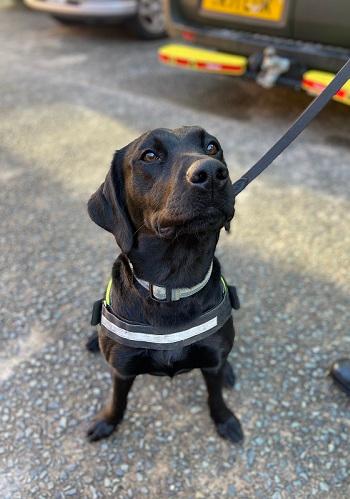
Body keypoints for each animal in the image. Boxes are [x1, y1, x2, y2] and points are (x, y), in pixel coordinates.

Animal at [86, 127, 243, 444]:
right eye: (149, 155)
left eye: (212, 147)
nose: (211, 172)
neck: (171, 286)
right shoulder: (122, 369)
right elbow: (117, 399)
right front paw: (107, 421)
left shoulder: (211, 362)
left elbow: (215, 395)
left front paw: (225, 420)